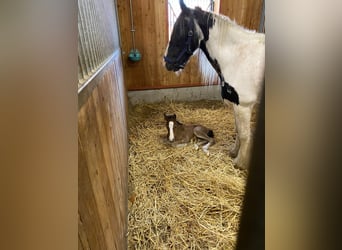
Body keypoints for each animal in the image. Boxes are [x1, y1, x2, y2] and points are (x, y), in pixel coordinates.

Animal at [163, 0, 264, 168]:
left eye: (186, 32)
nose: (167, 63)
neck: (238, 57)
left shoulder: (244, 106)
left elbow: (244, 135)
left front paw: (239, 162)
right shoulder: (236, 106)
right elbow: (238, 130)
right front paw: (233, 152)